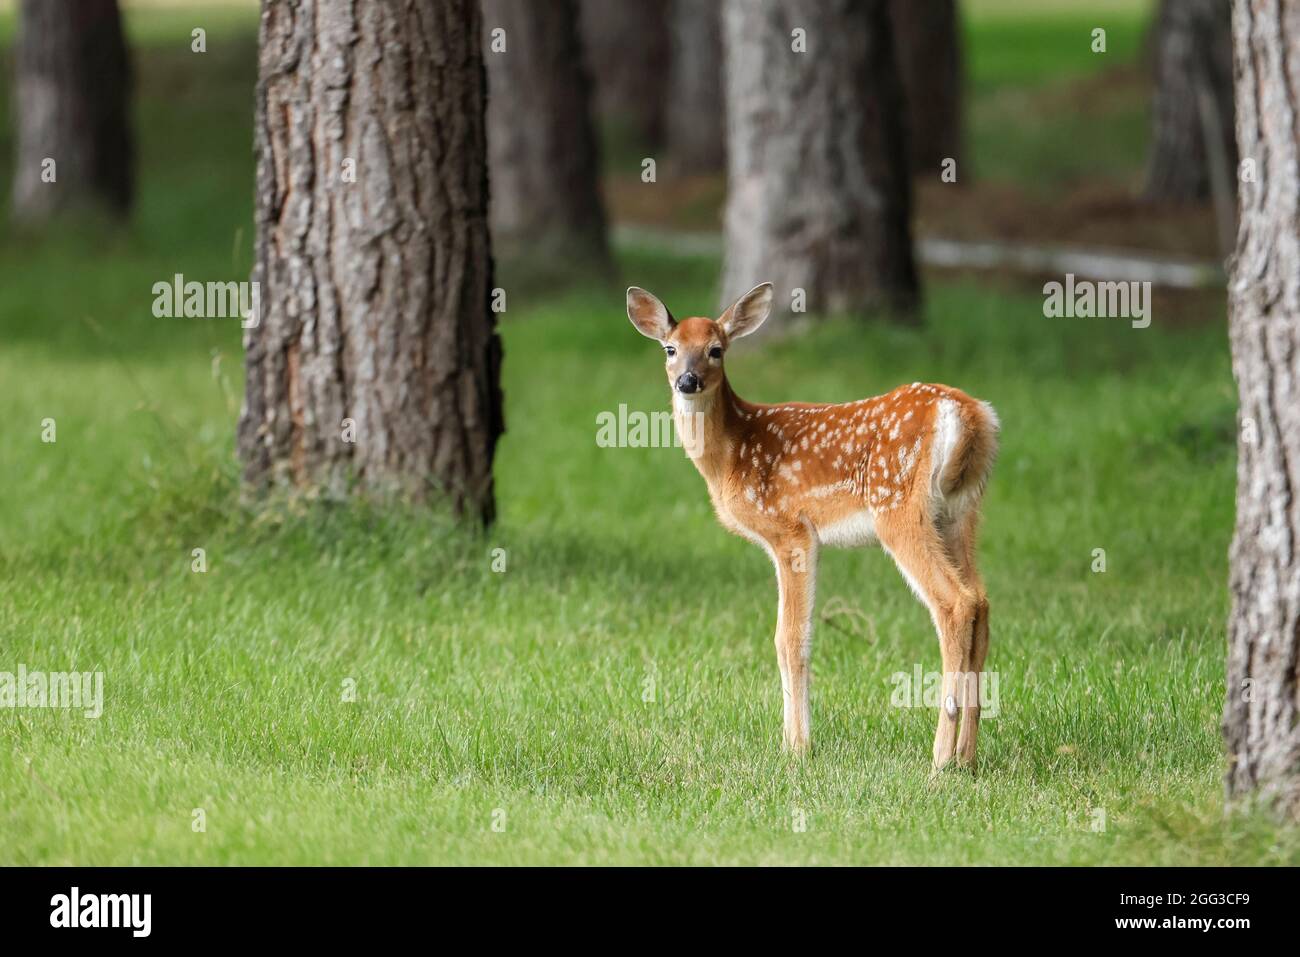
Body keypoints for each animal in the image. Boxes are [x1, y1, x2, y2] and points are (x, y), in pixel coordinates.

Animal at [624, 282, 998, 769]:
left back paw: (939, 759)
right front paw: (792, 741)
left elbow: (790, 639)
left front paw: (797, 747)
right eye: (670, 348)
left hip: (898, 507)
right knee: (981, 600)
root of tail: (969, 415)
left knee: (956, 602)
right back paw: (967, 757)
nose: (687, 381)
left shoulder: (791, 529)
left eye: (715, 350)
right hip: (959, 512)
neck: (731, 455)